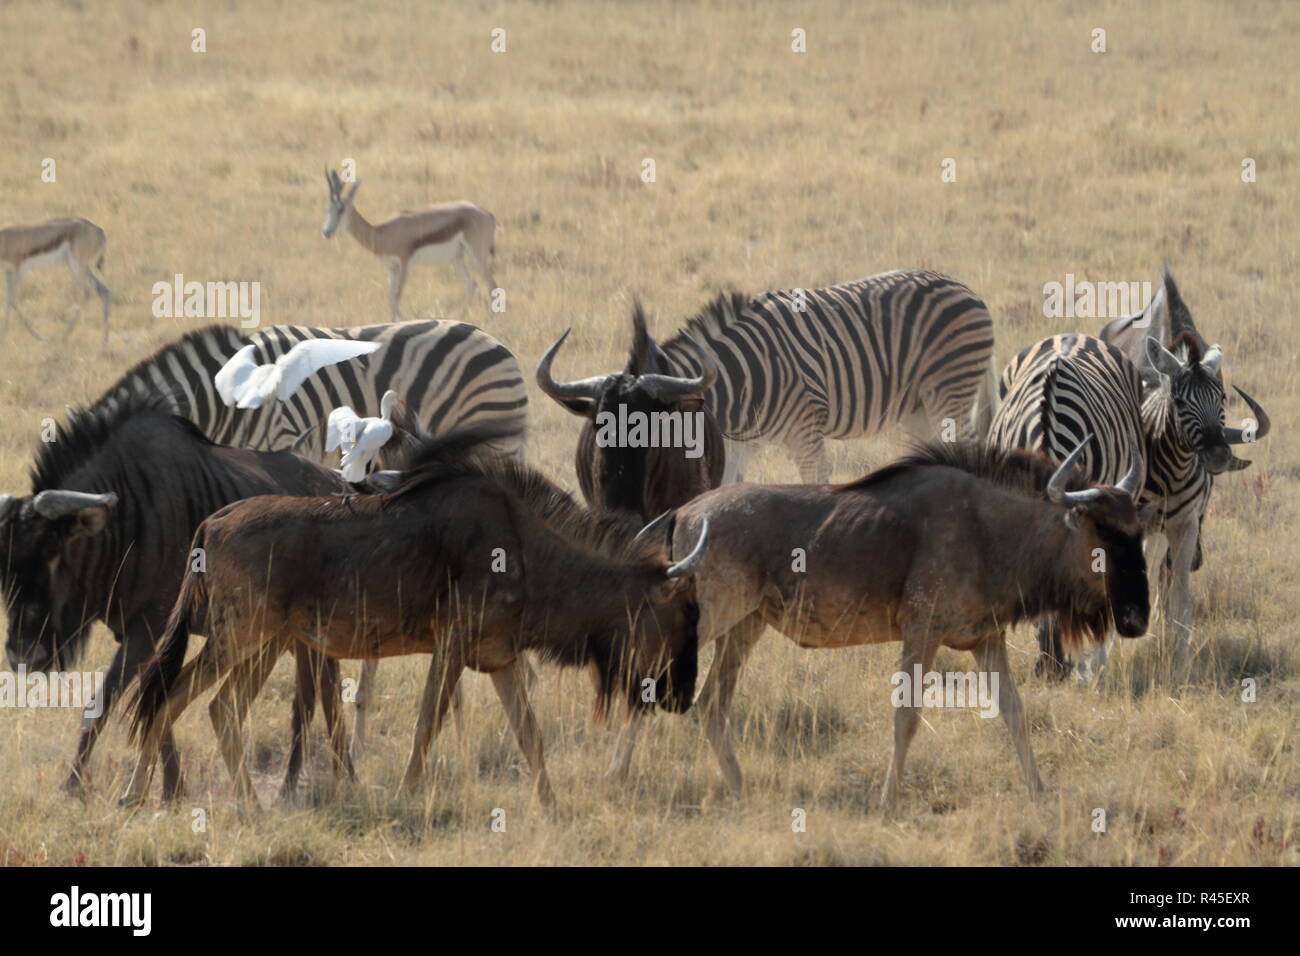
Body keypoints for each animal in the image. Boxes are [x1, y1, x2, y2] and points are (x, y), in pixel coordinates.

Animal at [319, 169, 496, 321]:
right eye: (328, 208)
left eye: (341, 209)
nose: (326, 232)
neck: (381, 233)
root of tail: (486, 213)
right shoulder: (392, 268)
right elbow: (390, 299)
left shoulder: (405, 264)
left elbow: (397, 298)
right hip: (456, 259)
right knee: (472, 284)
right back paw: (459, 318)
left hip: (477, 255)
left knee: (491, 284)